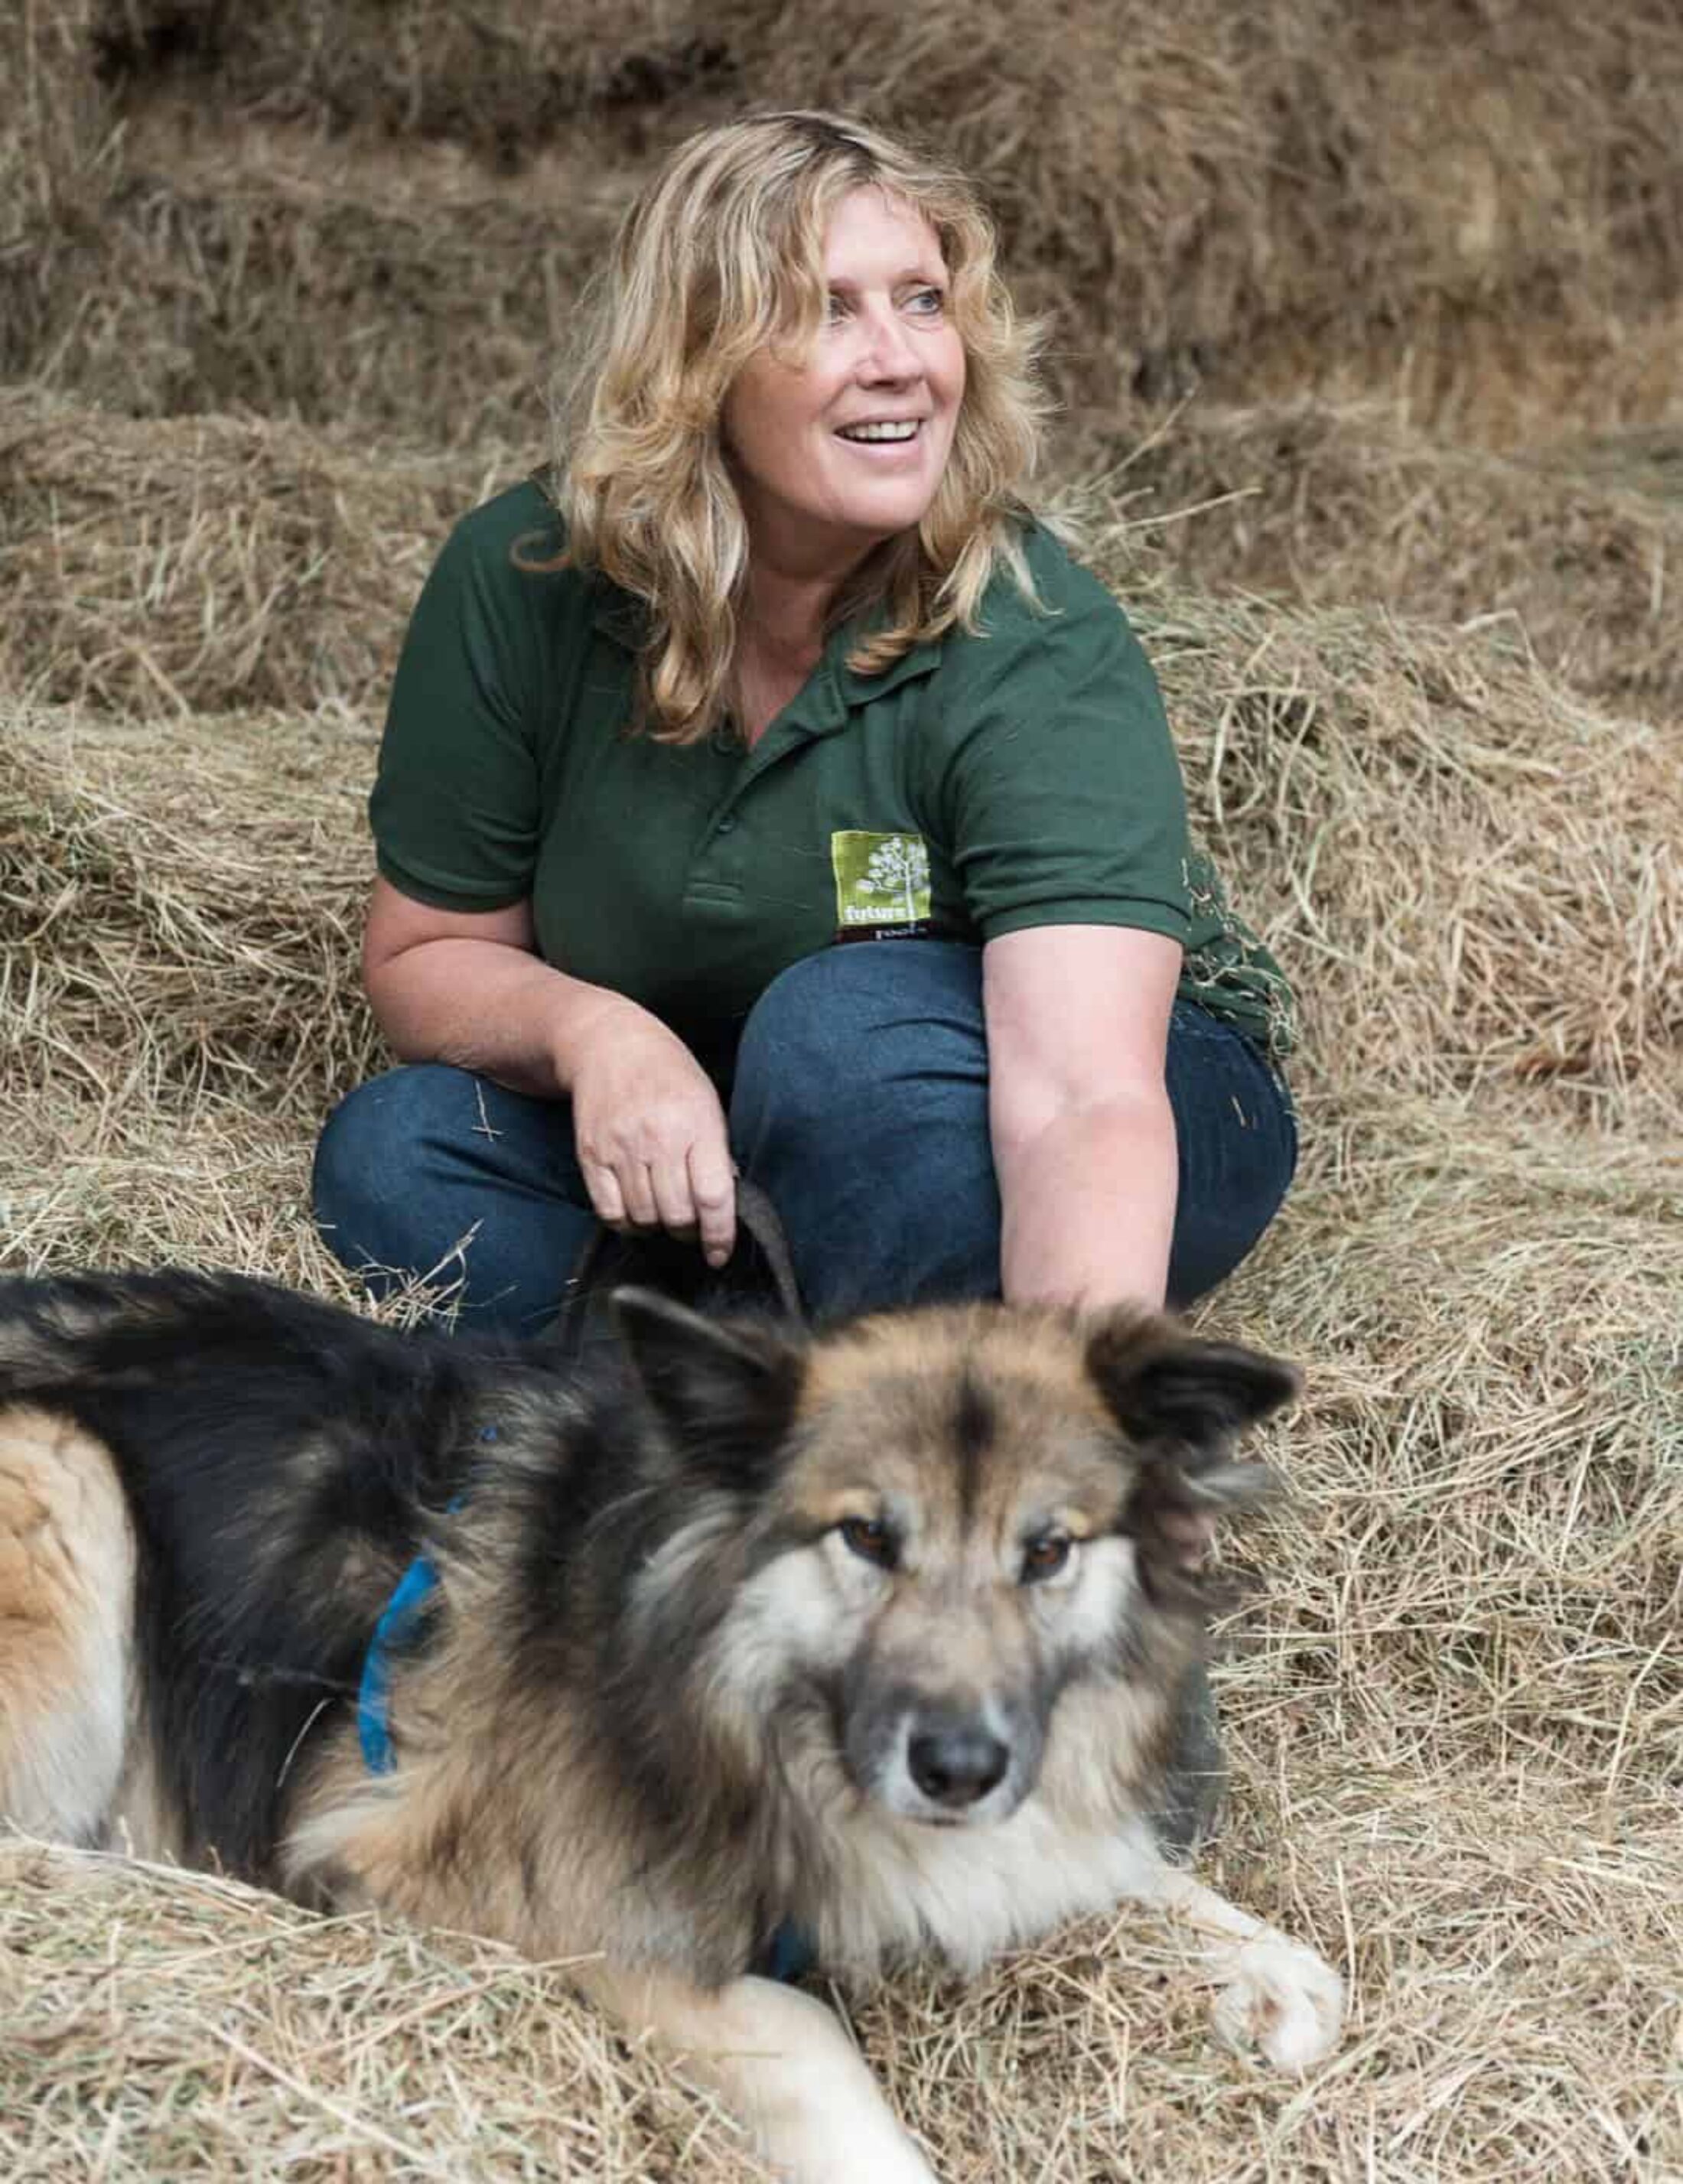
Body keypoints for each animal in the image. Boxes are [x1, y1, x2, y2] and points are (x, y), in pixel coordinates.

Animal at [0, 1275, 1344, 2175]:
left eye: (1048, 1550)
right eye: (868, 1535)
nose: (958, 1768)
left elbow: (1092, 1852)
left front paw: (1256, 1957)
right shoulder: (493, 1881)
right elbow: (803, 2028)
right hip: (63, 1477)